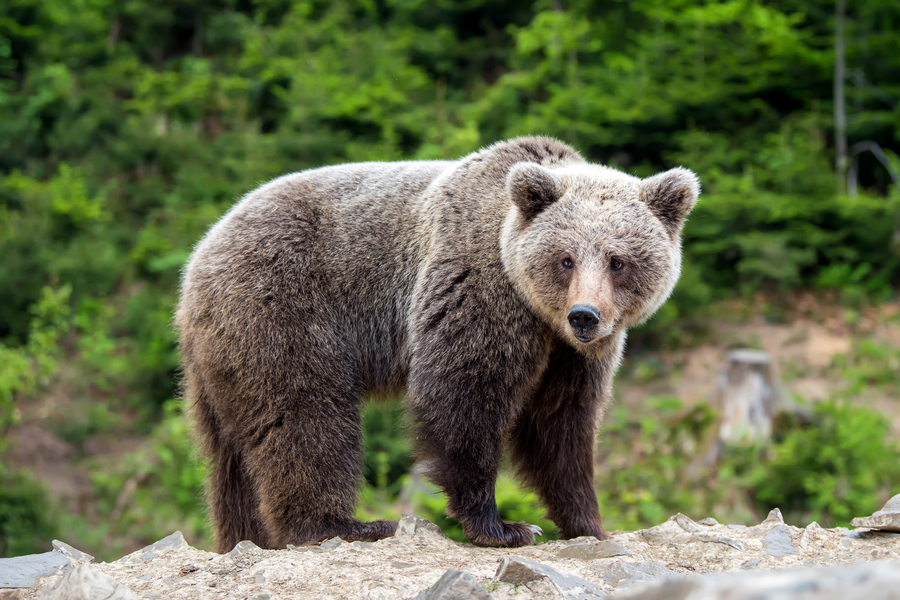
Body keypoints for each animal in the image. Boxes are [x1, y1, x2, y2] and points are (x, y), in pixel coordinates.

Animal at [174, 136, 696, 552]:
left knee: (230, 460)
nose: (584, 315)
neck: (539, 315)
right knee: (303, 417)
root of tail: (199, 254)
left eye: (617, 260)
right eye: (565, 258)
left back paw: (246, 538)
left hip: (217, 359)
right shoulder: (477, 288)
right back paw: (344, 525)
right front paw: (503, 526)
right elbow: (464, 397)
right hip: (282, 308)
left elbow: (562, 426)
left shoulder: (571, 356)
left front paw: (588, 523)